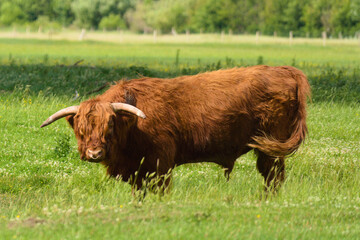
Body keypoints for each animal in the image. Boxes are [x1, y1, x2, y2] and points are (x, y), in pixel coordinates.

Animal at [41, 64, 310, 192]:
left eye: (109, 126)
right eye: (81, 129)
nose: (94, 153)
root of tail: (284, 71)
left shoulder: (161, 164)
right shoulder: (137, 171)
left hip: (270, 148)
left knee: (273, 177)